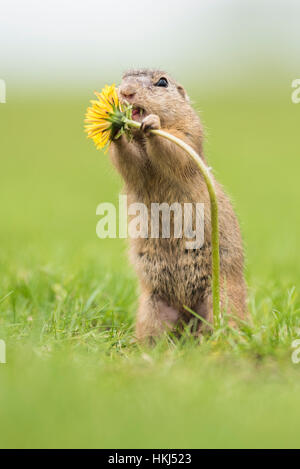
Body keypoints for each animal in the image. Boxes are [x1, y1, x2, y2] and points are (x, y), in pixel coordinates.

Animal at [109, 68, 246, 340]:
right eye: (122, 79)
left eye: (162, 82)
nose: (126, 92)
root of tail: (188, 316)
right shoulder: (138, 162)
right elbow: (131, 161)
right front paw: (116, 130)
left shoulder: (189, 130)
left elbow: (176, 149)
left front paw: (152, 123)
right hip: (151, 307)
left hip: (223, 298)